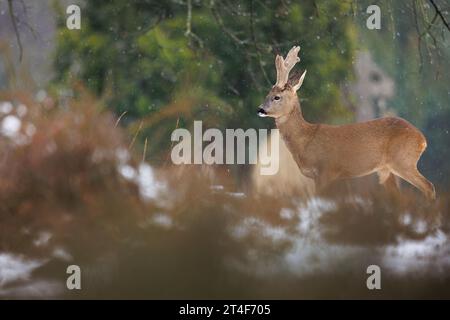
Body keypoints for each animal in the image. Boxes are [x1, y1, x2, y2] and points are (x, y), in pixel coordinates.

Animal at [256, 45, 436, 200]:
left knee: (429, 186)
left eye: (277, 97)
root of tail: (422, 140)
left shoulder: (326, 170)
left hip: (403, 161)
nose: (260, 109)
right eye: (267, 94)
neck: (306, 139)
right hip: (387, 169)